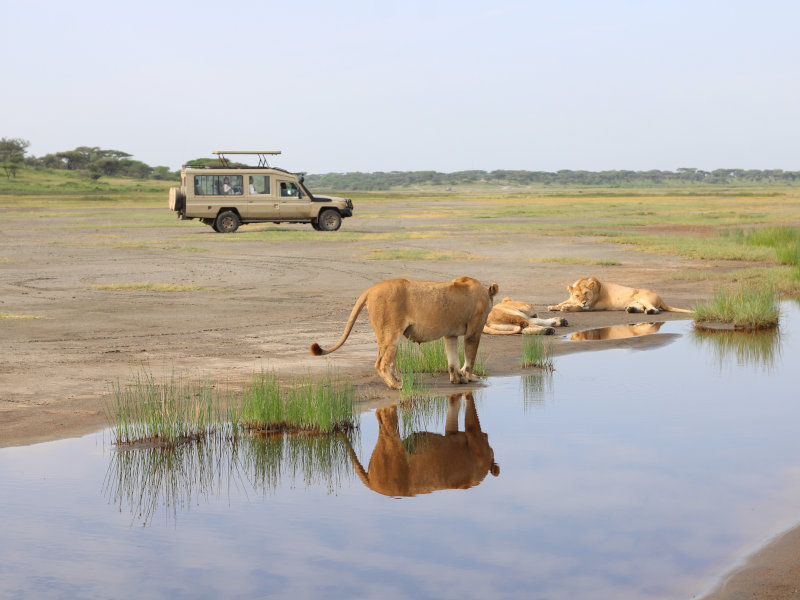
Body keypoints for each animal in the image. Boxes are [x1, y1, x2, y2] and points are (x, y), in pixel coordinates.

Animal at [310, 276, 496, 390]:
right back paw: (396, 386)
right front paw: (469, 377)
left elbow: (452, 360)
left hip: (388, 336)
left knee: (388, 361)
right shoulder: (474, 330)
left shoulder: (450, 334)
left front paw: (457, 378)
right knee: (381, 364)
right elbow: (470, 357)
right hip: (391, 333)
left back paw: (399, 380)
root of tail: (370, 290)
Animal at [552, 276, 692, 314]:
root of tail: (661, 297)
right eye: (577, 295)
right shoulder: (571, 299)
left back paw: (649, 312)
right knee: (642, 307)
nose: (584, 301)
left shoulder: (590, 306)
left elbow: (576, 307)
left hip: (639, 295)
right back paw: (630, 309)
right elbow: (564, 302)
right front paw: (553, 306)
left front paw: (565, 308)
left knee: (654, 309)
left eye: (586, 293)